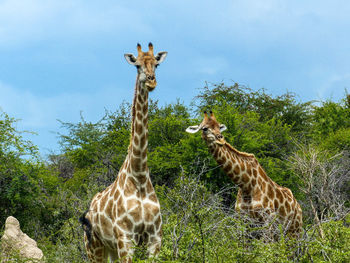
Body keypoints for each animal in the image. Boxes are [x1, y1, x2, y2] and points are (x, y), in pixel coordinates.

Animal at [80, 42, 167, 262]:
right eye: (137, 66)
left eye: (156, 64)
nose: (152, 82)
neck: (139, 176)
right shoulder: (126, 239)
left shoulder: (155, 239)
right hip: (95, 247)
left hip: (111, 249)